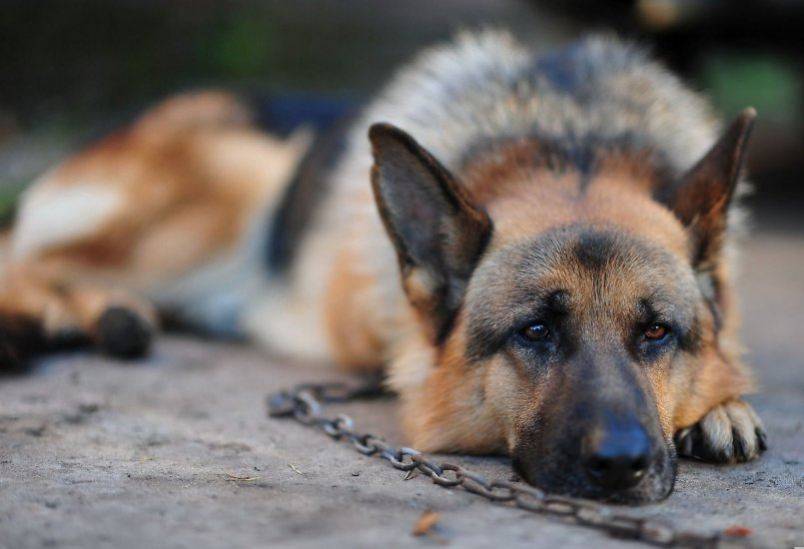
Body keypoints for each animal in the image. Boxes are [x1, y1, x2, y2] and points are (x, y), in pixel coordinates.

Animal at [0, 31, 766, 503]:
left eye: (657, 332)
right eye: (536, 332)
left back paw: (103, 313)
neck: (566, 139)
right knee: (21, 254)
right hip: (238, 180)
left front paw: (722, 406)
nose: (621, 466)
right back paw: (71, 315)